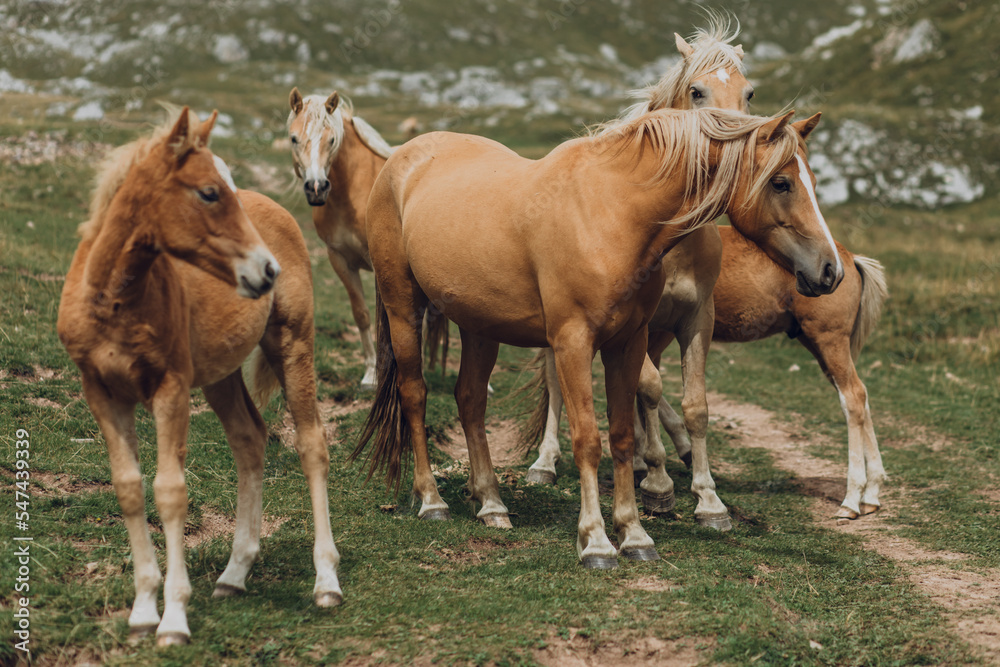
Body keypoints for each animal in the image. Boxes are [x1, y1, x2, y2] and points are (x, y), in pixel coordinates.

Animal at [61, 109, 348, 648]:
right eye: (210, 192)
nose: (266, 269)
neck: (115, 300)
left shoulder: (170, 389)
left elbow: (170, 492)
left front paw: (173, 619)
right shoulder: (102, 392)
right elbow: (129, 487)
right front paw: (142, 612)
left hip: (293, 345)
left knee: (311, 445)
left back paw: (326, 581)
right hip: (221, 374)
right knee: (249, 438)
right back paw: (234, 575)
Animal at [354, 108, 844, 568]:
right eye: (781, 182)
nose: (830, 271)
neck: (612, 214)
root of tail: (401, 159)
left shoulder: (627, 344)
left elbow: (624, 437)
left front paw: (635, 534)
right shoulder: (573, 344)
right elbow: (588, 440)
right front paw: (595, 541)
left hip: (478, 327)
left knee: (470, 401)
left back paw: (491, 503)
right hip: (403, 309)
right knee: (414, 394)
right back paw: (432, 500)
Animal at [524, 18, 884, 524]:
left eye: (750, 92)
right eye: (696, 91)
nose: (826, 269)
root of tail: (852, 259)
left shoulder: (695, 319)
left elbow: (689, 404)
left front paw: (702, 494)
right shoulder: (642, 327)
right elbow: (649, 388)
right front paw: (658, 480)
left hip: (824, 340)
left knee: (854, 397)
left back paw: (861, 494)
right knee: (559, 380)